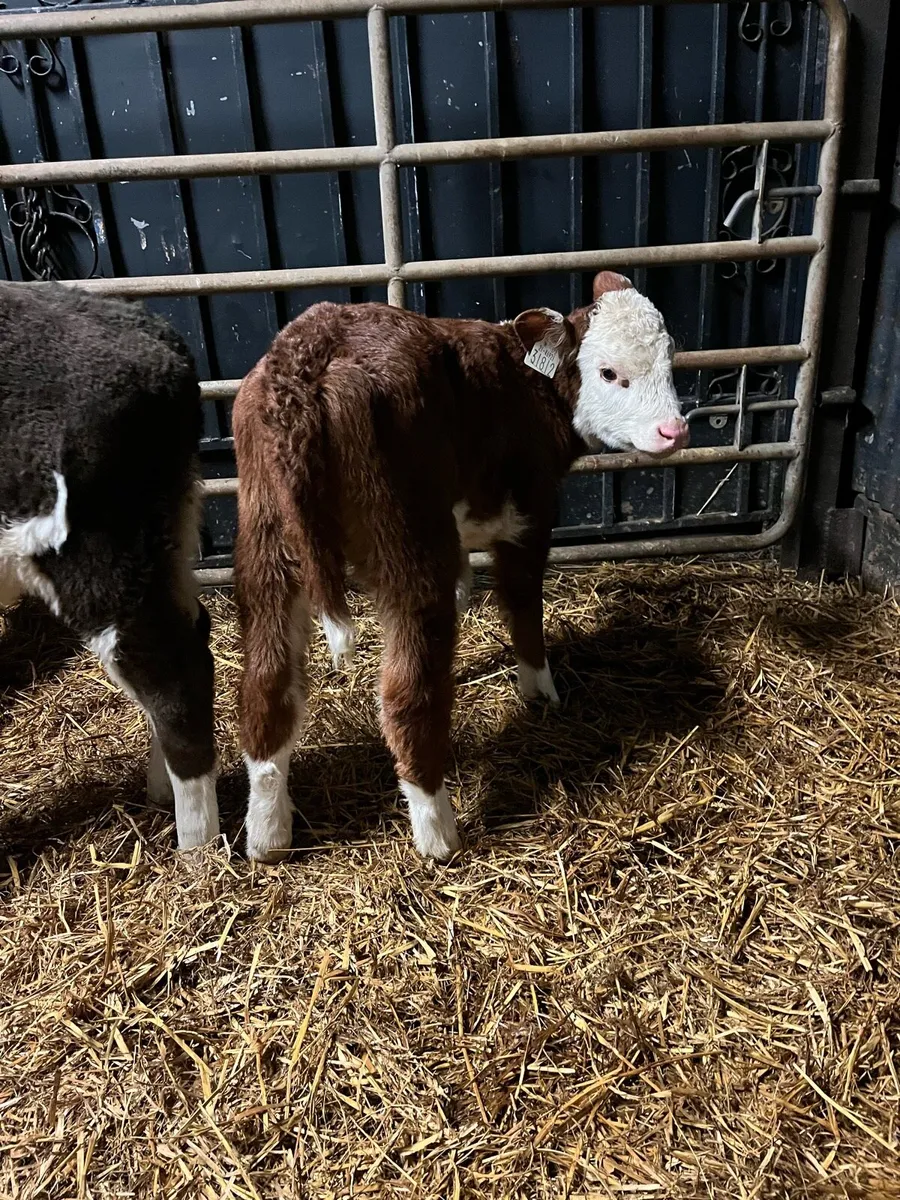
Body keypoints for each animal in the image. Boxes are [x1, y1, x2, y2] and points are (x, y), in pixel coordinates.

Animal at [232, 271, 687, 864]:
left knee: (267, 684)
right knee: (407, 693)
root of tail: (306, 362)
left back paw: (268, 834)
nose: (673, 431)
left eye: (670, 358)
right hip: (407, 543)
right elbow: (523, 605)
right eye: (609, 372)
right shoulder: (529, 513)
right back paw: (438, 833)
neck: (525, 388)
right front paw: (540, 691)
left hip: (266, 544)